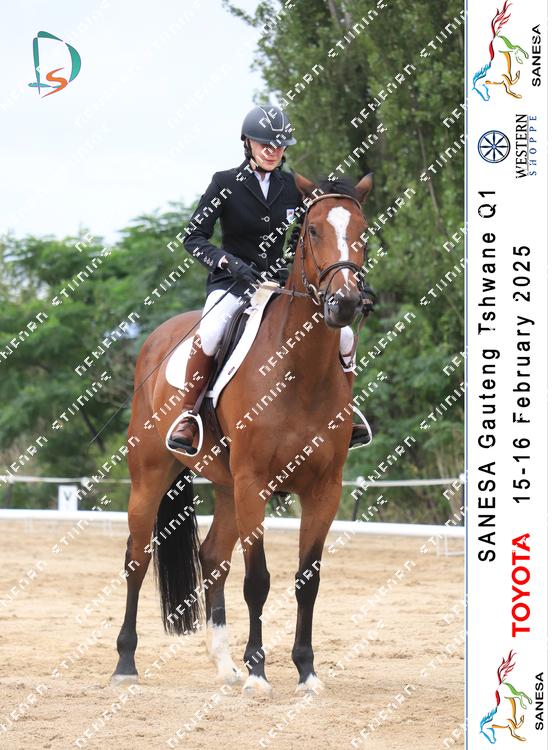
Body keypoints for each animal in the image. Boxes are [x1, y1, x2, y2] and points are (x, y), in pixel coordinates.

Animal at [111, 171, 374, 696]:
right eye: (312, 230)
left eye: (363, 231)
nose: (346, 303)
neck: (299, 369)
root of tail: (156, 339)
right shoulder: (255, 482)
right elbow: (259, 580)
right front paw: (258, 672)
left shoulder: (324, 489)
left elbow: (307, 580)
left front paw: (306, 671)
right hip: (151, 476)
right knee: (137, 558)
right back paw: (126, 663)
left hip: (227, 486)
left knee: (213, 557)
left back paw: (224, 665)